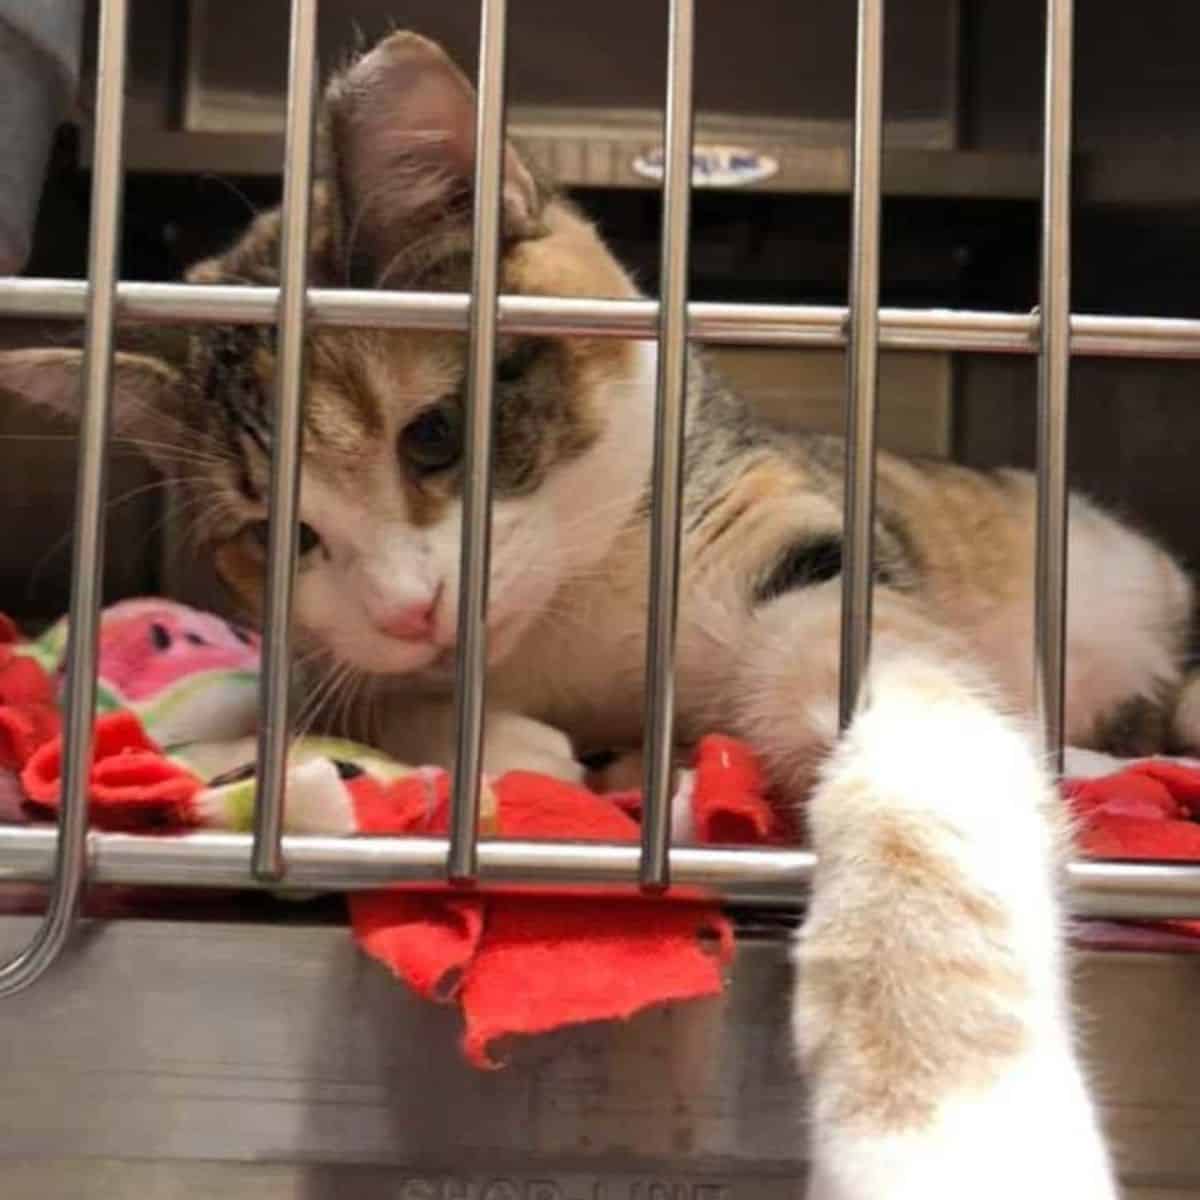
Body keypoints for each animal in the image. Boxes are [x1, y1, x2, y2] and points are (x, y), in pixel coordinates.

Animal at [0, 28, 1161, 1190]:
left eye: (435, 433)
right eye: (280, 537)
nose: (414, 607)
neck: (570, 623)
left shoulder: (783, 540)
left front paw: (947, 1113)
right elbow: (353, 692)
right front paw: (496, 745)